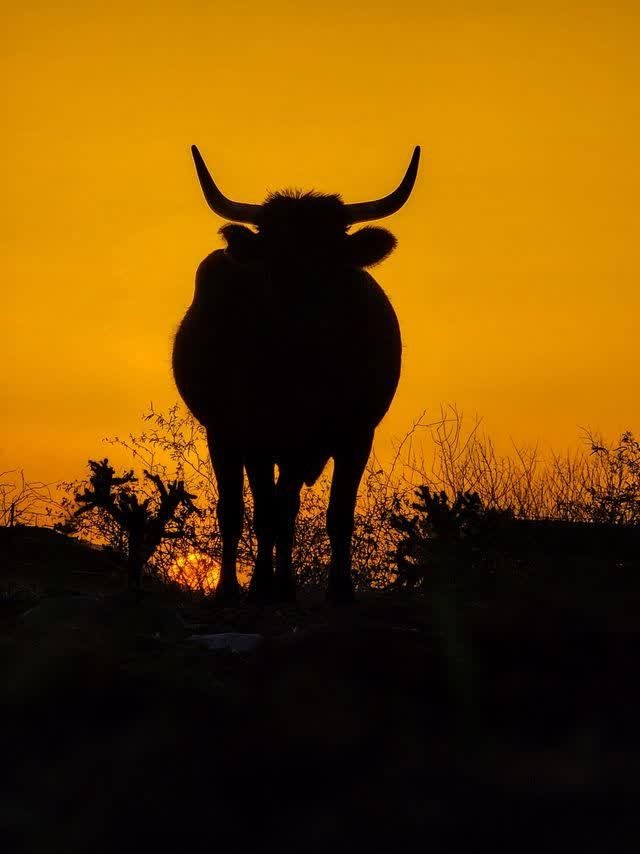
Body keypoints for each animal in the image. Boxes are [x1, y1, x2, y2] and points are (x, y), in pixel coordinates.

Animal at [172, 145, 420, 603]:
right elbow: (263, 513)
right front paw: (254, 588)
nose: (301, 308)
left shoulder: (356, 435)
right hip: (225, 435)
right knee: (238, 510)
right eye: (275, 259)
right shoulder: (253, 435)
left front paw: (340, 591)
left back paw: (283, 585)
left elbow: (338, 513)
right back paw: (238, 588)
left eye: (332, 258)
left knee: (285, 508)